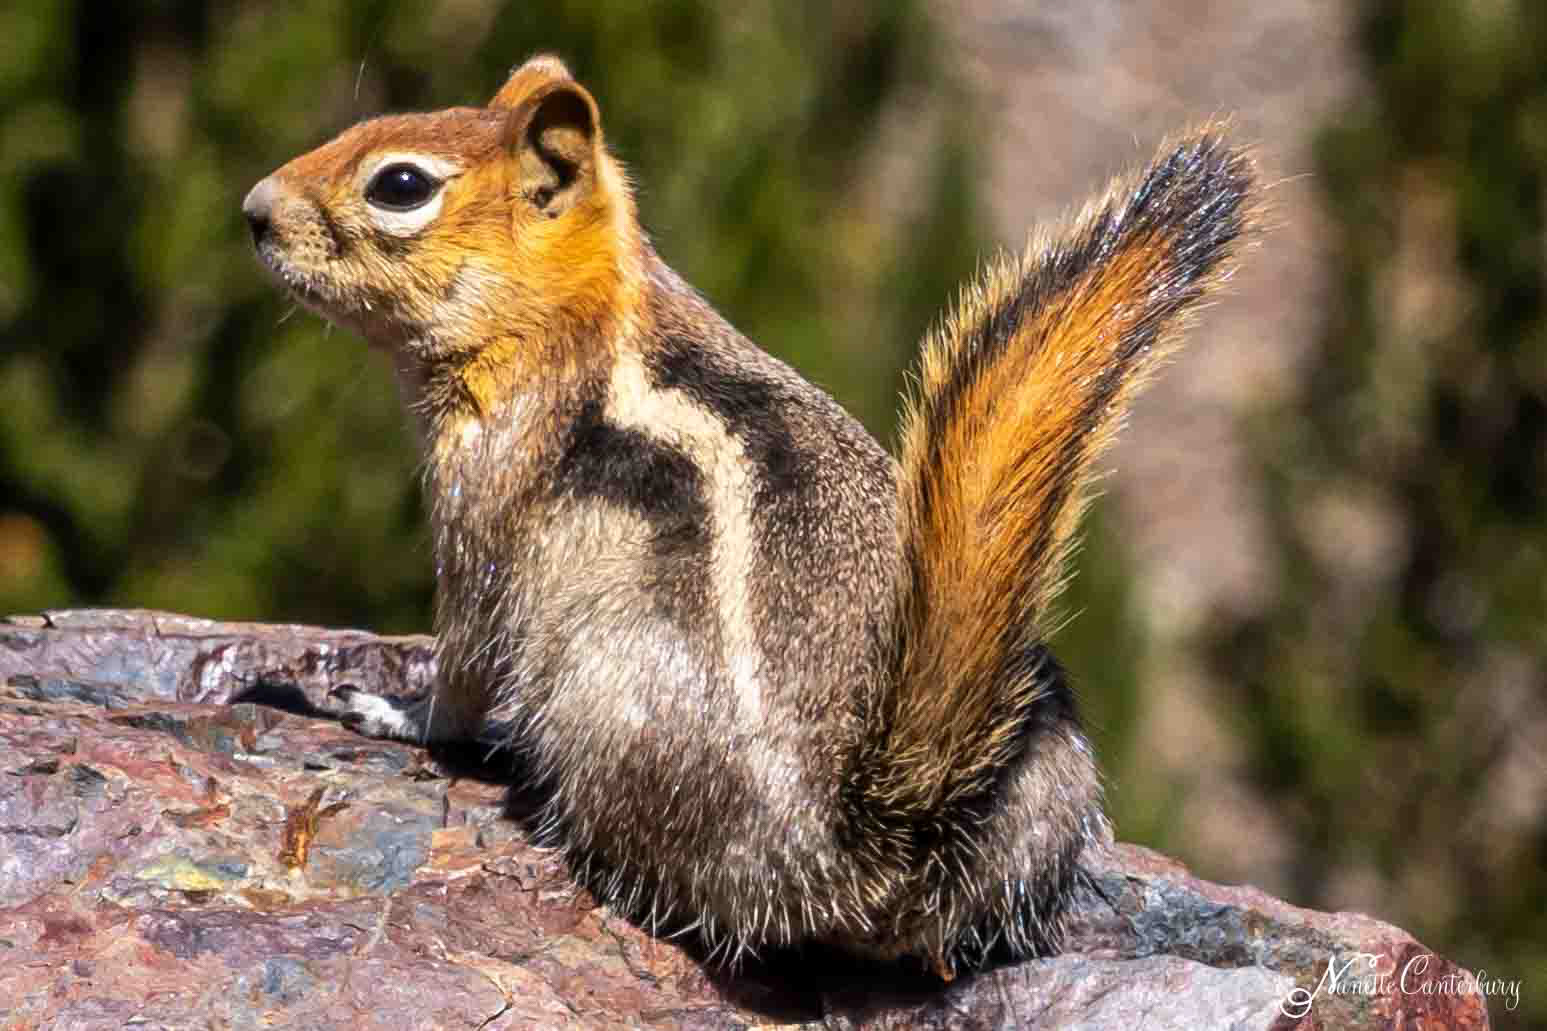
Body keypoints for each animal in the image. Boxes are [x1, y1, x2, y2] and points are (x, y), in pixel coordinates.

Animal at [242, 54, 1256, 975]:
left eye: (400, 184)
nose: (253, 210)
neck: (572, 316)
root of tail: (873, 836)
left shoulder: (482, 517)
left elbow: (463, 670)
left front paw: (388, 706)